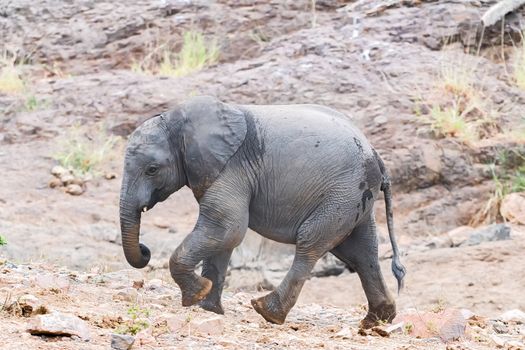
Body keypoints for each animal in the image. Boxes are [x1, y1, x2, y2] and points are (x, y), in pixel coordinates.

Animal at [118, 94, 406, 326]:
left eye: (152, 169)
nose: (145, 250)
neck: (179, 119)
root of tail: (376, 156)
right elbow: (223, 237)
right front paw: (207, 308)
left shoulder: (232, 168)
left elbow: (228, 228)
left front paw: (196, 296)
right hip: (356, 198)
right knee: (361, 252)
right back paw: (376, 321)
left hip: (342, 193)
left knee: (310, 244)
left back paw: (268, 312)